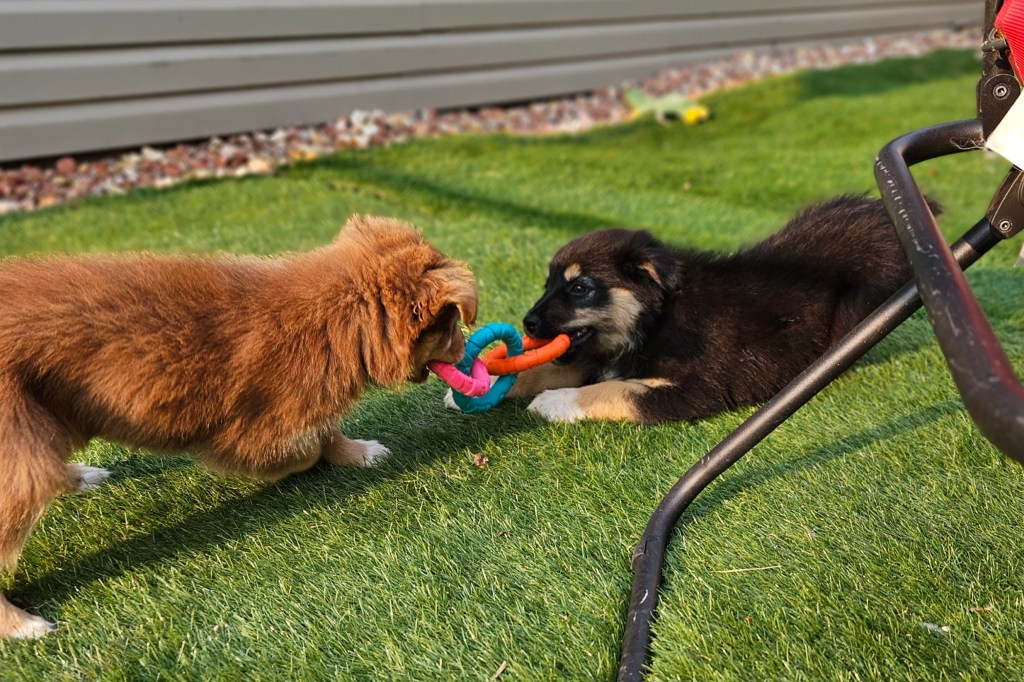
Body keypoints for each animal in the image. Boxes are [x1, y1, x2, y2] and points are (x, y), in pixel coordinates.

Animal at [0, 215, 476, 639]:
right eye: (451, 326)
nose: (467, 349)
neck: (339, 318)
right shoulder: (250, 429)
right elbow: (301, 443)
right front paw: (307, 462)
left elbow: (326, 429)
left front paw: (356, 453)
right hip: (20, 440)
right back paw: (21, 624)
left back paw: (77, 476)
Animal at [503, 195, 916, 424]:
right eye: (547, 284)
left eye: (579, 288)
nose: (529, 322)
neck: (655, 320)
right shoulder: (597, 355)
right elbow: (542, 369)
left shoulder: (696, 389)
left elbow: (615, 391)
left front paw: (555, 401)